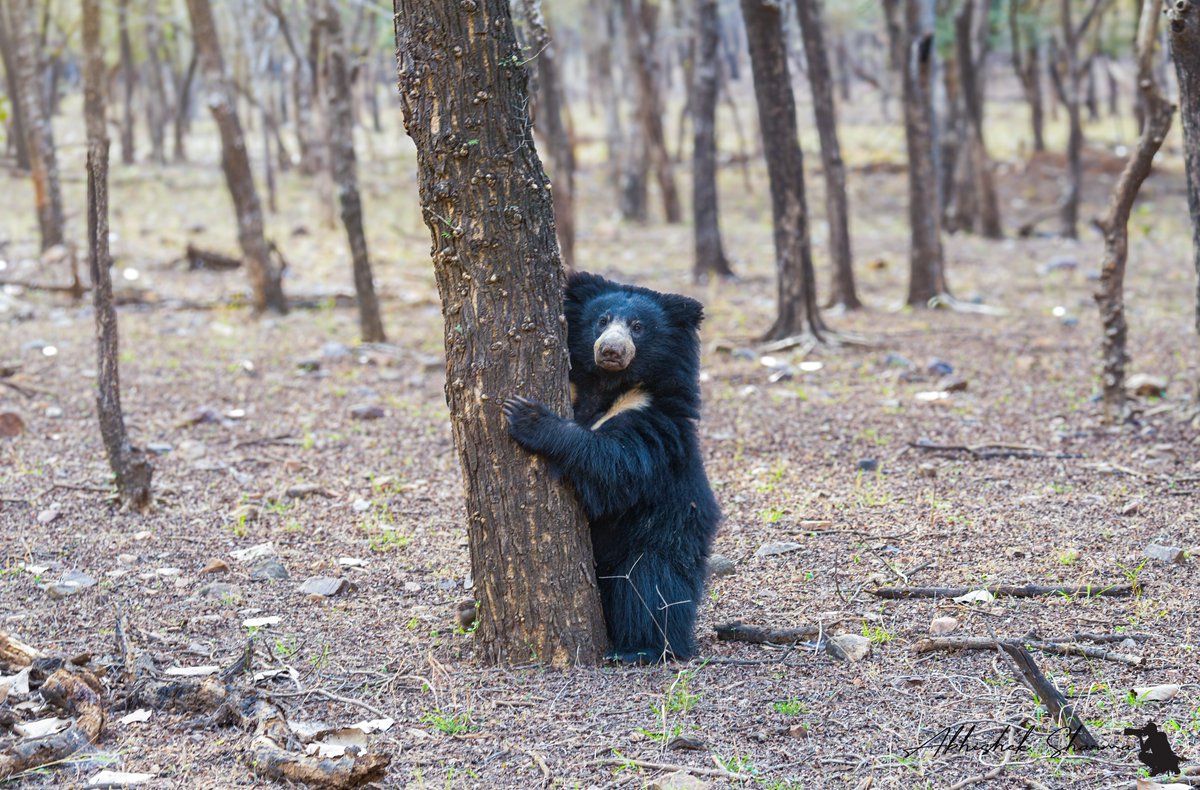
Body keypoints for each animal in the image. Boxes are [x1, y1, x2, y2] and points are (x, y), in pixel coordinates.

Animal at [503, 272, 720, 663]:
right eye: (602, 321)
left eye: (637, 327)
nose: (611, 351)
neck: (609, 387)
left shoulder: (654, 425)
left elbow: (615, 468)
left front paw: (528, 417)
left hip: (662, 539)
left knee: (649, 587)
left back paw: (641, 649)